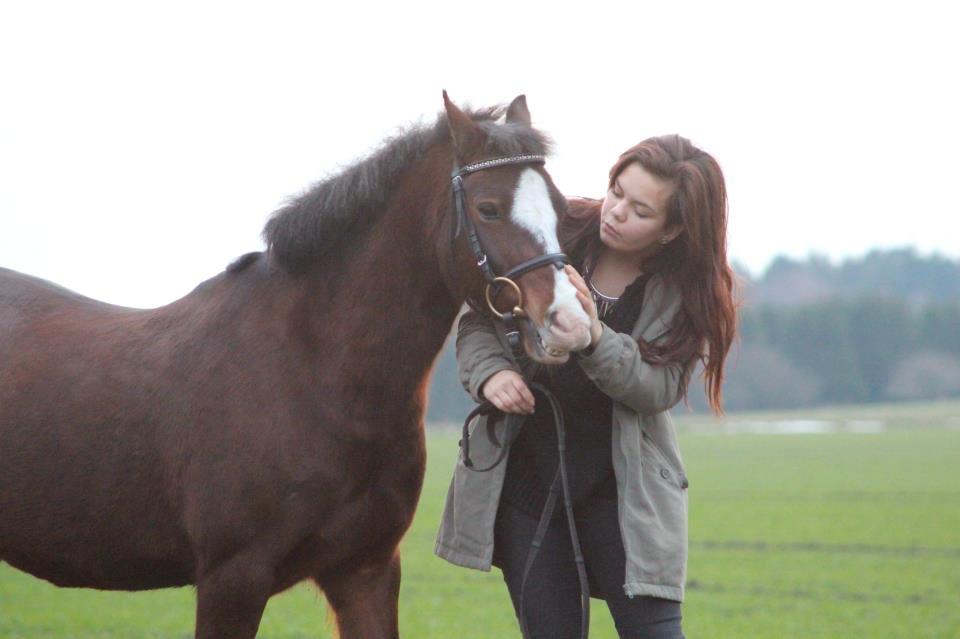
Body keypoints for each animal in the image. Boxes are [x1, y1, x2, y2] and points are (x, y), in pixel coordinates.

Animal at [0, 92, 592, 636]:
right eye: (488, 208)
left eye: (561, 210)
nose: (570, 322)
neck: (313, 378)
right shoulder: (232, 579)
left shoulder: (366, 572)